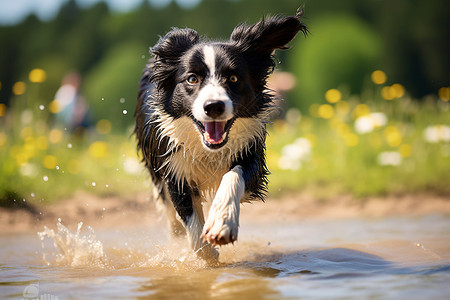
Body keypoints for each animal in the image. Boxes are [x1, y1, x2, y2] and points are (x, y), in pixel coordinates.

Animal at [135, 9, 308, 260]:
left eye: (233, 78)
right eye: (192, 79)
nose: (214, 106)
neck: (208, 150)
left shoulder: (251, 154)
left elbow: (233, 175)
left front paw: (221, 223)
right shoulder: (173, 167)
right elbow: (190, 222)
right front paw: (208, 253)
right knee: (169, 212)